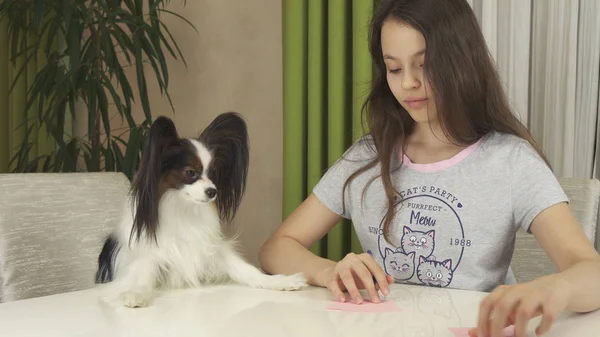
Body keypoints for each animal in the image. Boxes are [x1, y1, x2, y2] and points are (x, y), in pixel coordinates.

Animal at [96, 113, 310, 308]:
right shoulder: (152, 252)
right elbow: (143, 272)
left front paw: (279, 281)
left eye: (213, 173)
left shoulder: (210, 248)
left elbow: (243, 268)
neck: (182, 208)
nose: (212, 191)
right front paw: (136, 293)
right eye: (190, 172)